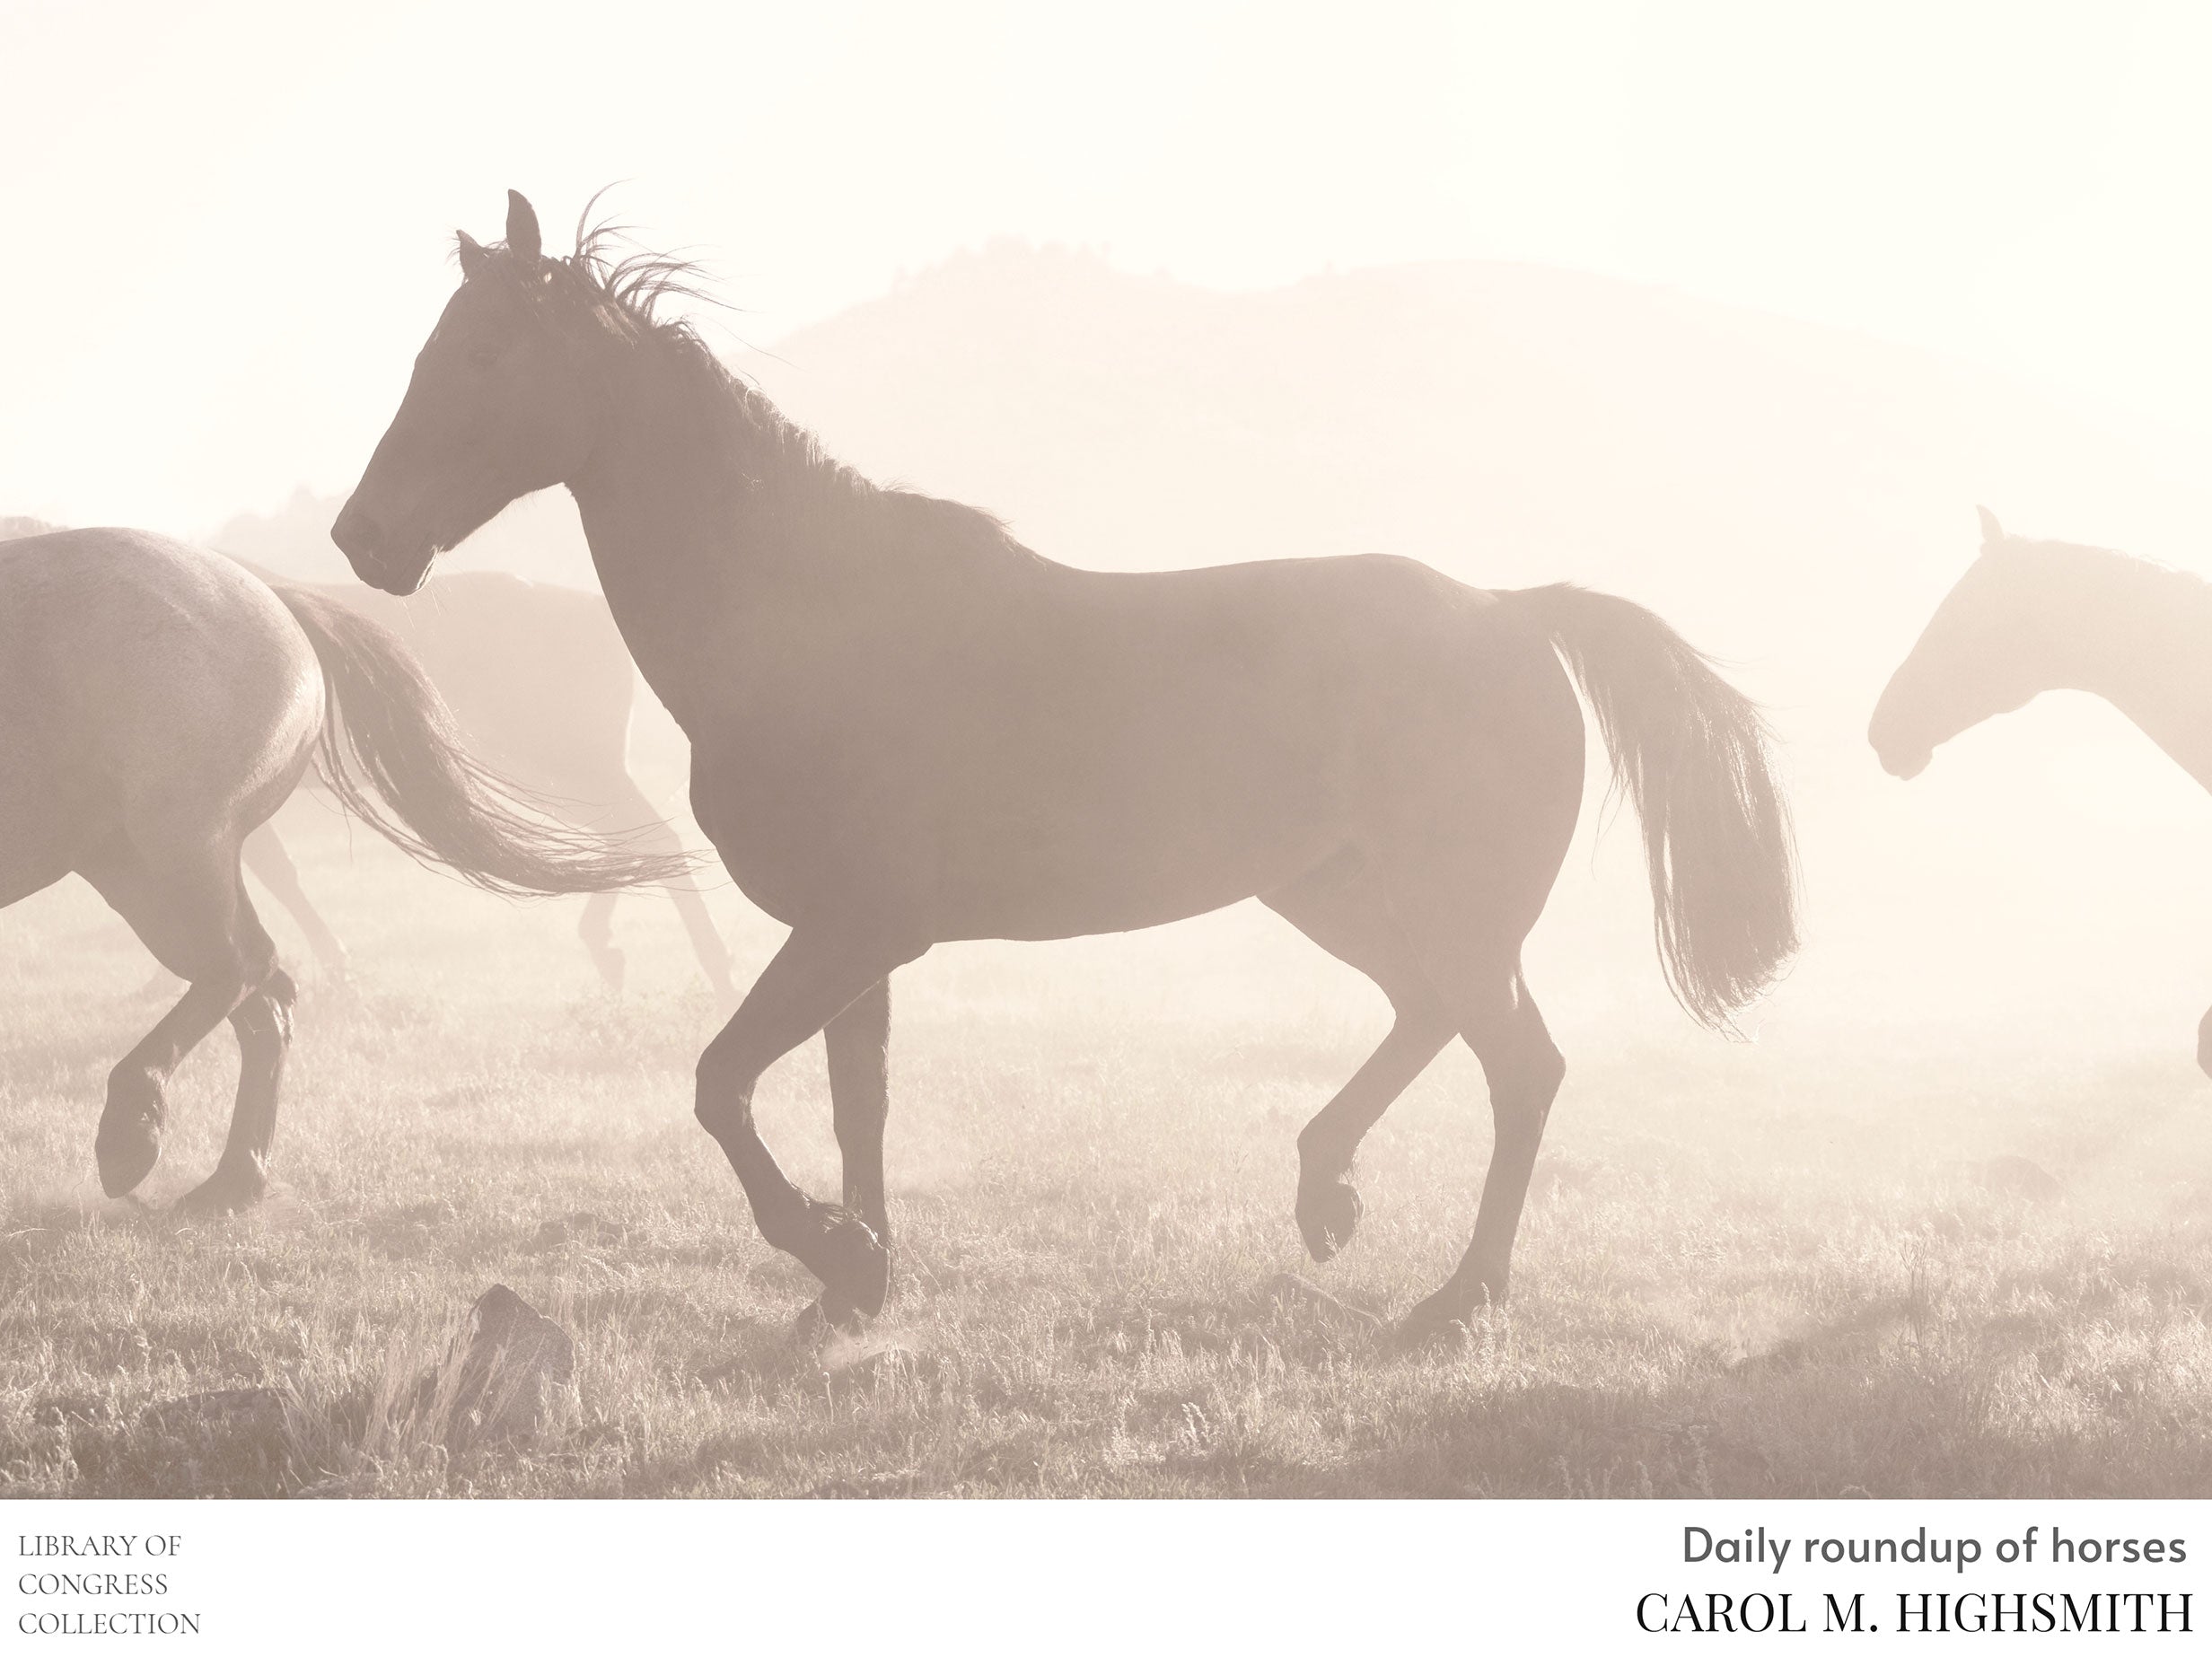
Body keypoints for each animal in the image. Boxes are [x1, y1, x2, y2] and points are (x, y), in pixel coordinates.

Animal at [0, 527, 688, 1211]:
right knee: (263, 993)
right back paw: (230, 1179)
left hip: (172, 853)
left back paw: (134, 1134)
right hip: (139, 867)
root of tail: (272, 597)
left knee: (244, 969)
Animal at [332, 191, 1799, 1342]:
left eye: (481, 355)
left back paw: (1452, 1294)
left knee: (1520, 1067)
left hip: (1439, 912)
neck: (809, 621)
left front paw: (834, 1253)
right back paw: (1328, 1195)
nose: (363, 537)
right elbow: (854, 1108)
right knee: (1440, 1023)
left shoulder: (851, 931)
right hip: (1338, 897)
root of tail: (1513, 609)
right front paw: (854, 1283)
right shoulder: (854, 942)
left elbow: (720, 1086)